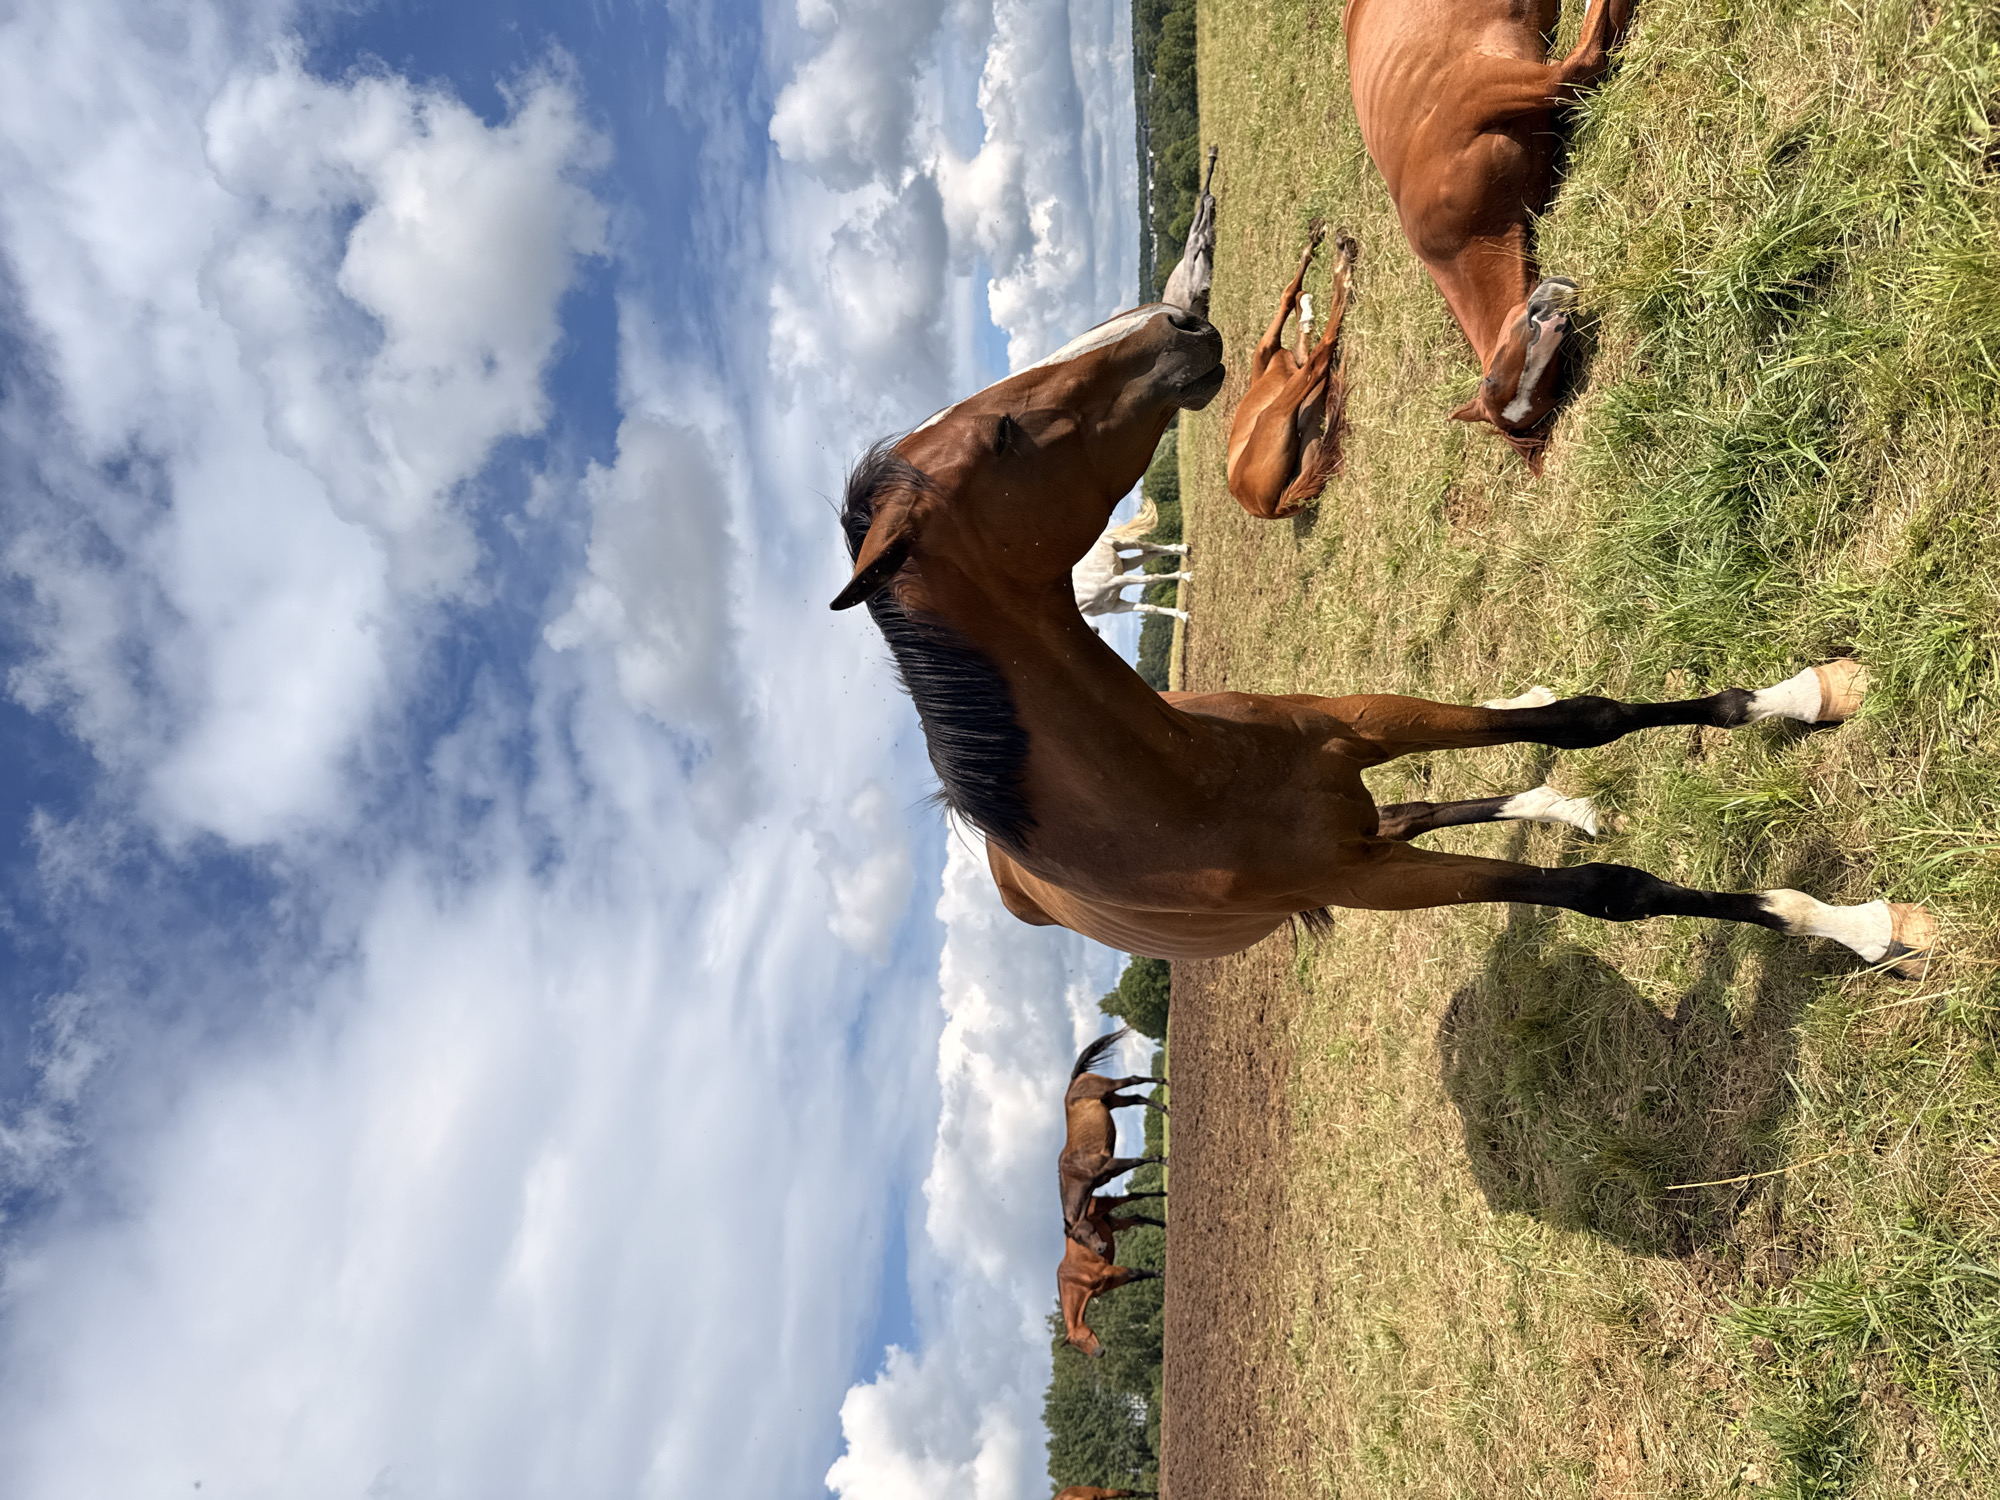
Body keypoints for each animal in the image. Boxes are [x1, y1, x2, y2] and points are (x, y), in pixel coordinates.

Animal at [1059, 1028, 1169, 1256]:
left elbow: (1139, 1161)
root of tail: (1075, 1080)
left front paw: (1166, 1161)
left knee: (1134, 1080)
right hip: (1113, 1100)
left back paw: (1166, 1082)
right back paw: (1166, 1109)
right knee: (1137, 1097)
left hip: (1110, 1088)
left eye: (1079, 1235)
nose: (1100, 1249)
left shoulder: (1111, 1164)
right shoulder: (1112, 1170)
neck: (1075, 1171)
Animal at [1059, 1192, 1165, 1359]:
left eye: (1082, 1340)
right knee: (1137, 1218)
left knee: (1134, 1196)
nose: (1098, 1354)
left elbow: (1137, 1272)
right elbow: (1138, 1275)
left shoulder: (1108, 1270)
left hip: (1106, 1204)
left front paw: (1163, 1273)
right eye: (1079, 1346)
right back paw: (1164, 1224)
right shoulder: (1112, 1281)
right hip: (1112, 1223)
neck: (1074, 1279)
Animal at [1072, 494, 1192, 623]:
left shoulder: (1115, 580)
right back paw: (1183, 560)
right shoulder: (1115, 606)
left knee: (1149, 547)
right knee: (1150, 554)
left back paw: (1185, 558)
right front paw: (1183, 616)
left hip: (1121, 544)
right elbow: (1150, 608)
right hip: (1124, 564)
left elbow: (1152, 578)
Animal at [1226, 222, 1358, 519]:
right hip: (1275, 413)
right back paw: (1341, 269)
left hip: (1309, 433)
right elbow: (1287, 296)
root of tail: (1267, 507)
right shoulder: (1266, 349)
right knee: (1319, 361)